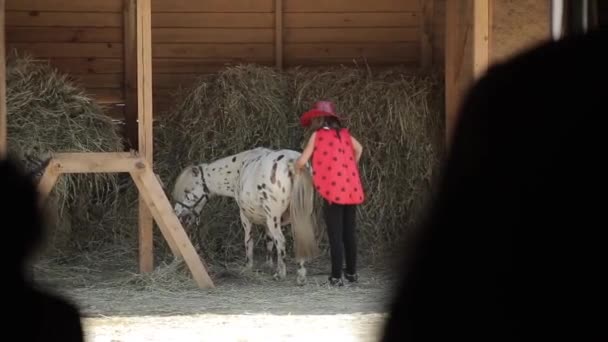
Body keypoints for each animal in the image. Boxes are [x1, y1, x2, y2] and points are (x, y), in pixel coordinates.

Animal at [171, 147, 318, 284]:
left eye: (187, 192)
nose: (177, 213)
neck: (239, 169)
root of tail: (293, 161)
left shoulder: (245, 217)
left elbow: (249, 241)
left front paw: (248, 266)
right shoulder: (266, 221)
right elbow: (268, 242)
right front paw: (268, 266)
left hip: (274, 219)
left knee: (281, 241)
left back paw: (280, 274)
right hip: (297, 216)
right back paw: (301, 276)